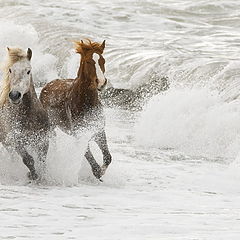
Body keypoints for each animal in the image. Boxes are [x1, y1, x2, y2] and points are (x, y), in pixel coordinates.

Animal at [0, 46, 49, 180]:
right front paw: (33, 176)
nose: (14, 95)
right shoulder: (17, 142)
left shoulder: (43, 139)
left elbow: (42, 160)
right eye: (10, 70)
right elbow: (28, 160)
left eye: (28, 71)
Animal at [39, 39, 112, 179]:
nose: (101, 82)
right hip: (50, 127)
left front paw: (101, 172)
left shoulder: (99, 131)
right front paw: (97, 173)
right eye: (89, 61)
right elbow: (90, 159)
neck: (86, 103)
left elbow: (107, 157)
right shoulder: (79, 134)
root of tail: (47, 85)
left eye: (103, 60)